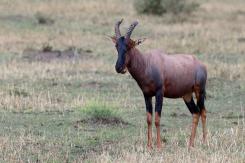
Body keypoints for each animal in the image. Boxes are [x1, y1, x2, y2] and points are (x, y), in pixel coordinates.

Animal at [110, 19, 208, 149]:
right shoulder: (146, 95)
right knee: (196, 113)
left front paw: (159, 146)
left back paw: (205, 142)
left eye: (129, 45)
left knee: (203, 112)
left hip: (199, 91)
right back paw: (191, 144)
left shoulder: (159, 93)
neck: (147, 63)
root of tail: (201, 64)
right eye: (117, 46)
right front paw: (149, 146)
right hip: (186, 95)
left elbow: (157, 118)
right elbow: (149, 118)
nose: (119, 68)